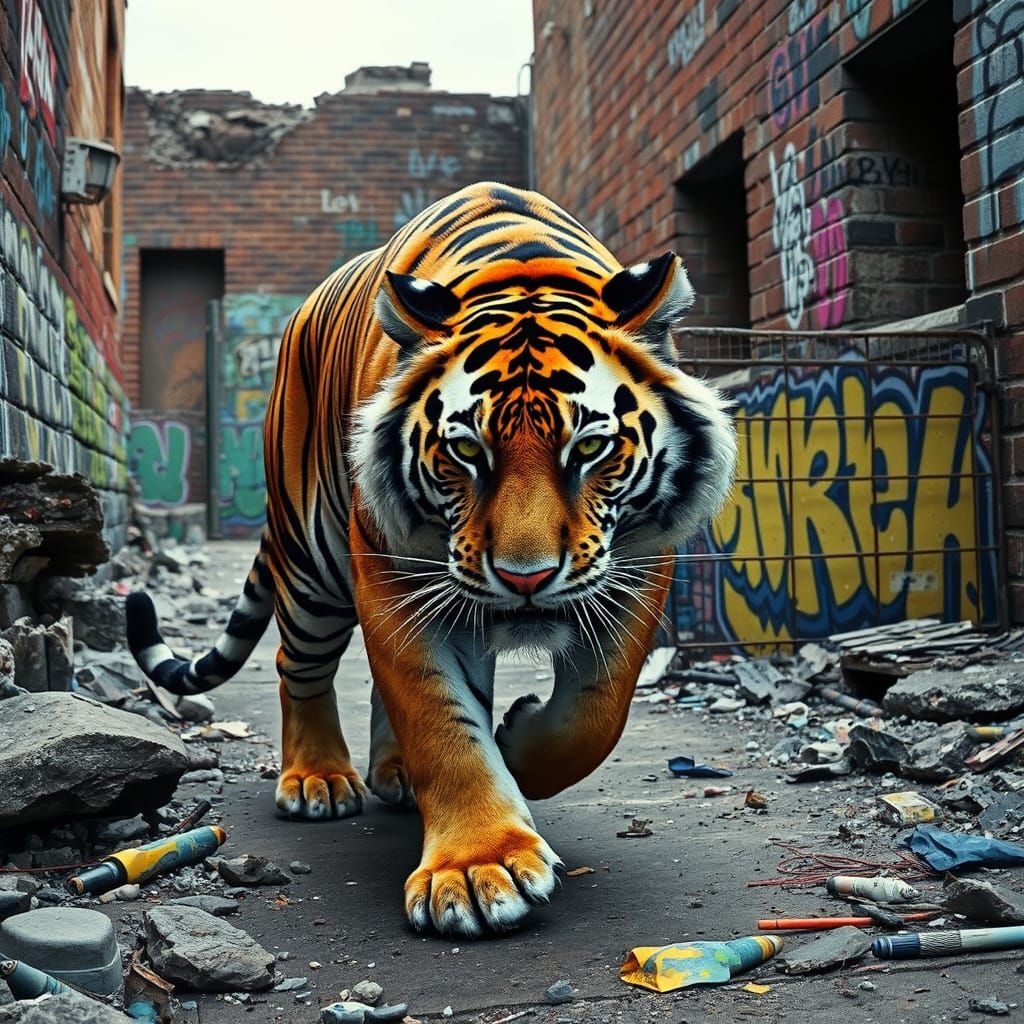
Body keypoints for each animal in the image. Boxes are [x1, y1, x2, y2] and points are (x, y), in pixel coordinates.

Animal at [127, 182, 737, 939]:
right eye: (466, 451)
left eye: (591, 448)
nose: (527, 579)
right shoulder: (390, 574)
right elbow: (436, 716)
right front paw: (479, 867)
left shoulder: (640, 562)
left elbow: (596, 712)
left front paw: (518, 746)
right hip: (314, 566)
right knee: (299, 664)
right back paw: (318, 779)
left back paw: (398, 777)